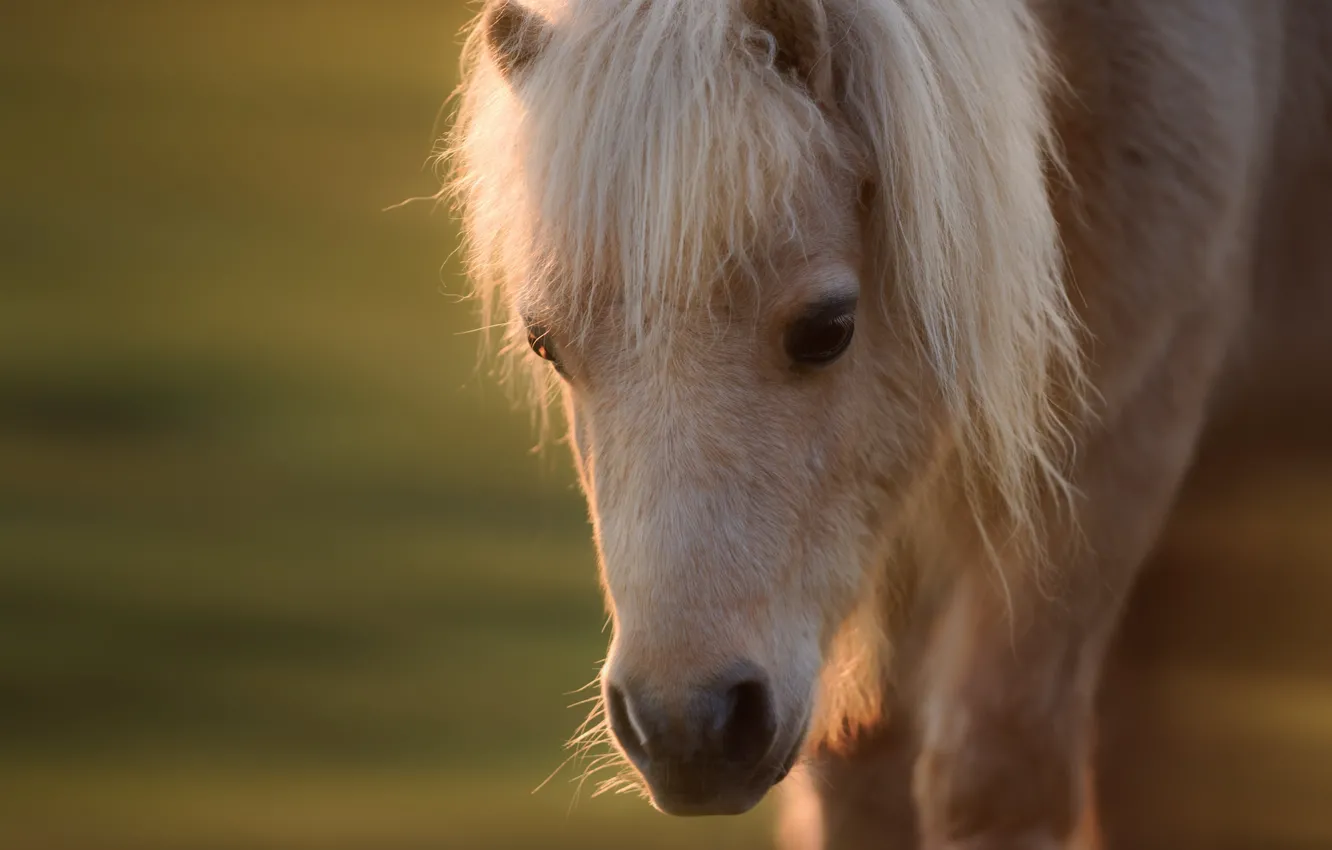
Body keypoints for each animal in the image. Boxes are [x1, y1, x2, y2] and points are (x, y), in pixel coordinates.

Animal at [442, 0, 1332, 847]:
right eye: (546, 343)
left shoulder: (1112, 444)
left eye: (827, 328)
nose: (685, 728)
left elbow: (997, 772)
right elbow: (862, 783)